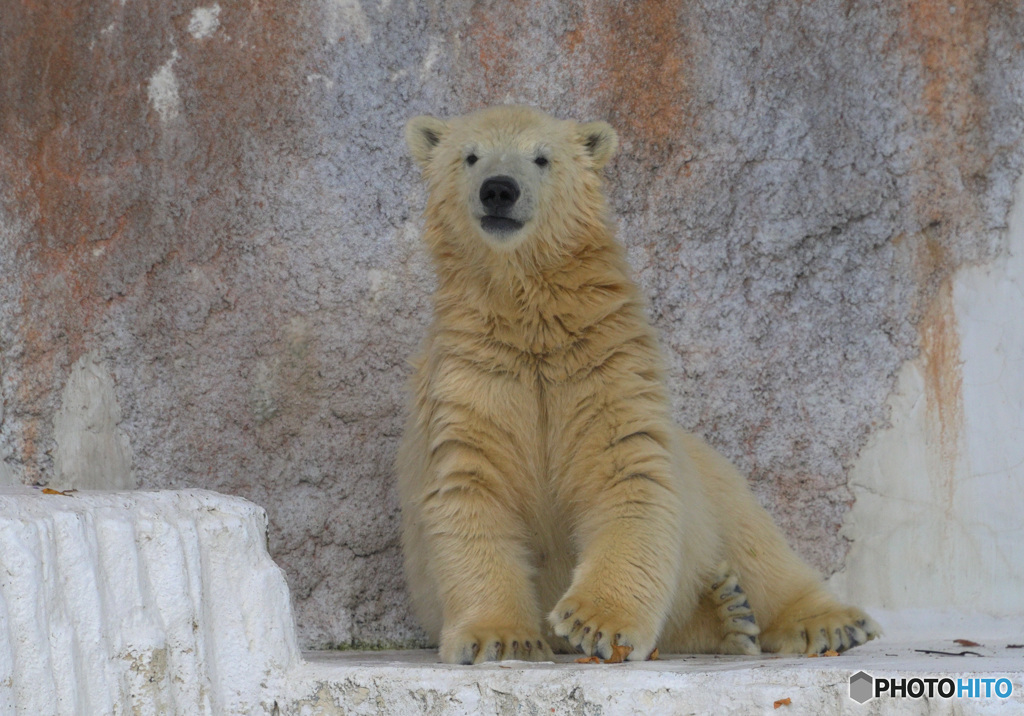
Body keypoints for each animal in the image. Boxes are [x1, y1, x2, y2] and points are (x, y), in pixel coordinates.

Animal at [395, 103, 876, 663]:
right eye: (470, 157)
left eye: (542, 158)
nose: (498, 190)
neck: (531, 319)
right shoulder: (474, 375)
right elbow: (473, 487)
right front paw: (501, 637)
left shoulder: (603, 361)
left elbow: (625, 473)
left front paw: (596, 623)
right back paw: (726, 616)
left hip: (702, 470)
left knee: (751, 536)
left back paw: (825, 623)